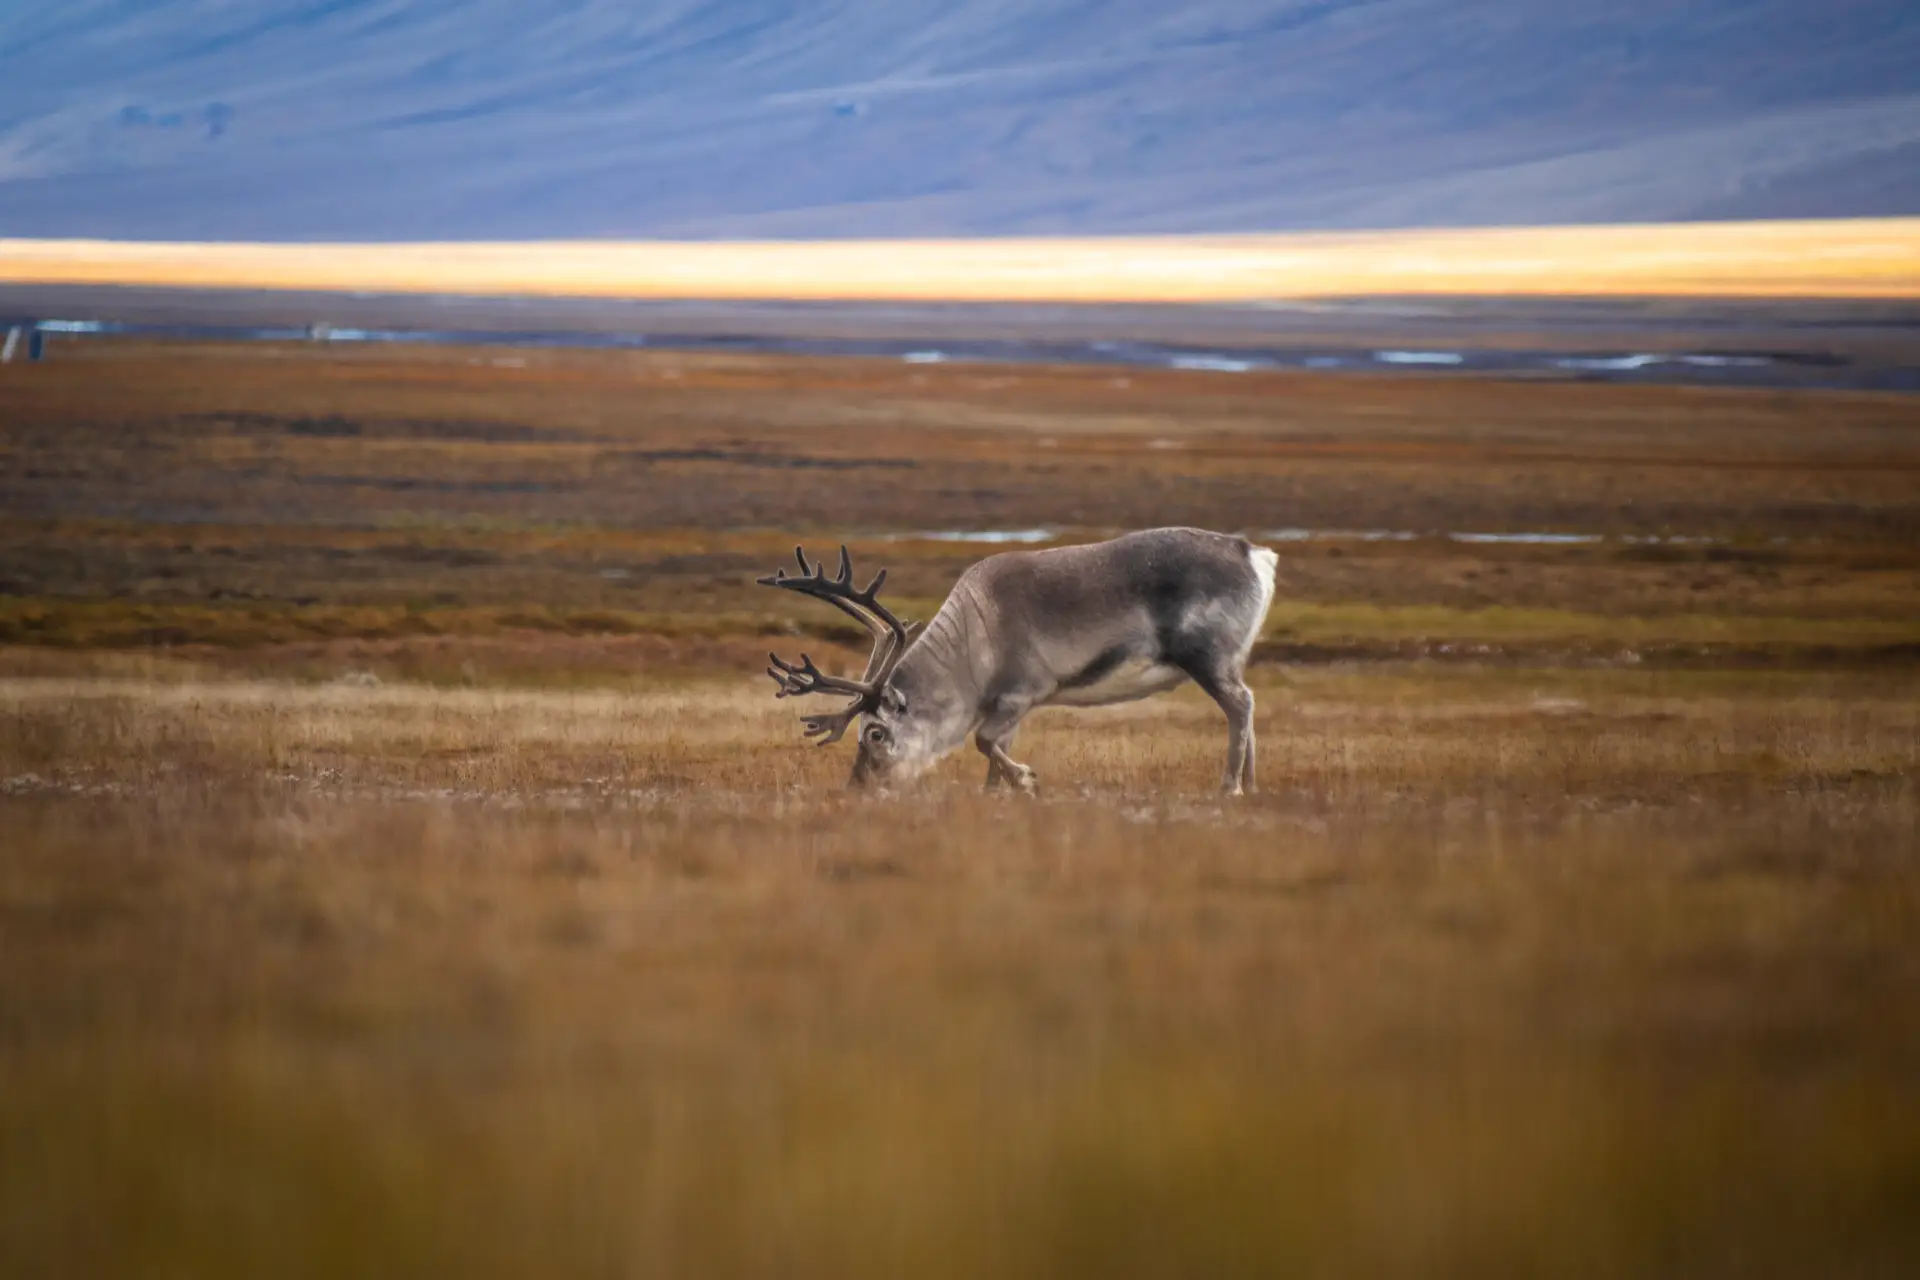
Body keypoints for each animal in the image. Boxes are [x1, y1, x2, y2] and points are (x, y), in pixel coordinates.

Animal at [759, 528, 1279, 794]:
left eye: (876, 733)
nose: (857, 790)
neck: (972, 643)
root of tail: (1254, 552)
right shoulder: (1011, 707)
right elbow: (995, 747)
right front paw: (998, 792)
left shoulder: (1021, 692)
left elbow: (984, 741)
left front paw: (1026, 779)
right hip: (1229, 661)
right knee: (1246, 706)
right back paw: (1252, 786)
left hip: (1207, 657)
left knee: (1241, 705)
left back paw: (1231, 786)